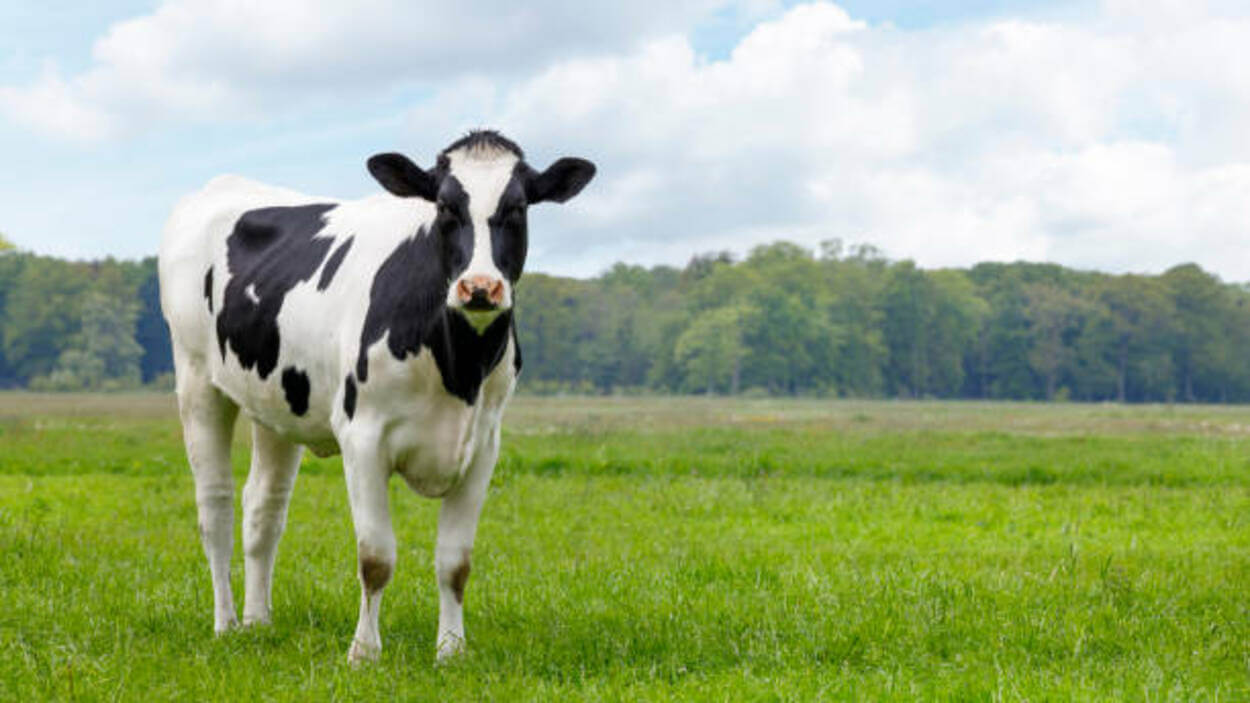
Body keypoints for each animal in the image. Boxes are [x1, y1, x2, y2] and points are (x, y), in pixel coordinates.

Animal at [158, 130, 595, 663]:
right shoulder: (362, 437)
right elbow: (376, 557)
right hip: (196, 378)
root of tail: (222, 184)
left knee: (264, 506)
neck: (458, 367)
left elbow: (455, 562)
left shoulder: (483, 446)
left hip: (274, 403)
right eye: (445, 207)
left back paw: (258, 622)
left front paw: (451, 650)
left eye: (516, 208)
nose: (479, 287)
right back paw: (225, 624)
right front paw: (364, 653)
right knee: (215, 505)